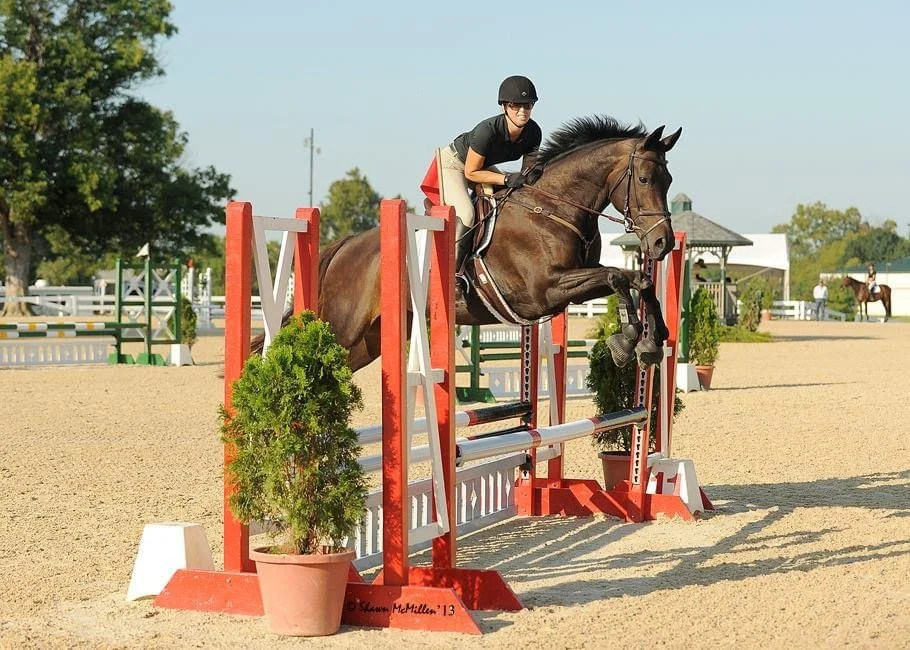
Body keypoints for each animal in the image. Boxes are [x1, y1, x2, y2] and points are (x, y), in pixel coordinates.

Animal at [281, 116, 681, 372]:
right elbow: (617, 276)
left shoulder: (572, 284)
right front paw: (629, 340)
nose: (662, 242)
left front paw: (654, 338)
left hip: (370, 339)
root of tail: (346, 245)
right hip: (343, 326)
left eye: (669, 180)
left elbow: (637, 279)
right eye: (644, 179)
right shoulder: (546, 290)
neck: (554, 207)